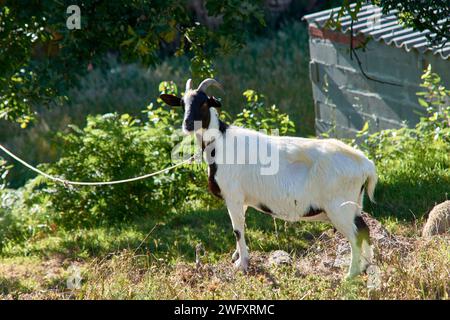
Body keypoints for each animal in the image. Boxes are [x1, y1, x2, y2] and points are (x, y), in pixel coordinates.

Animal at [160, 79, 378, 278]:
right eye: (182, 103)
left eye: (204, 103)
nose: (188, 124)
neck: (219, 141)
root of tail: (365, 164)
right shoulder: (242, 200)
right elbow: (240, 226)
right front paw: (236, 256)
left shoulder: (233, 195)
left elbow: (237, 230)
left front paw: (242, 264)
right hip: (354, 203)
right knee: (364, 229)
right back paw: (366, 267)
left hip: (339, 207)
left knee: (355, 235)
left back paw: (350, 275)